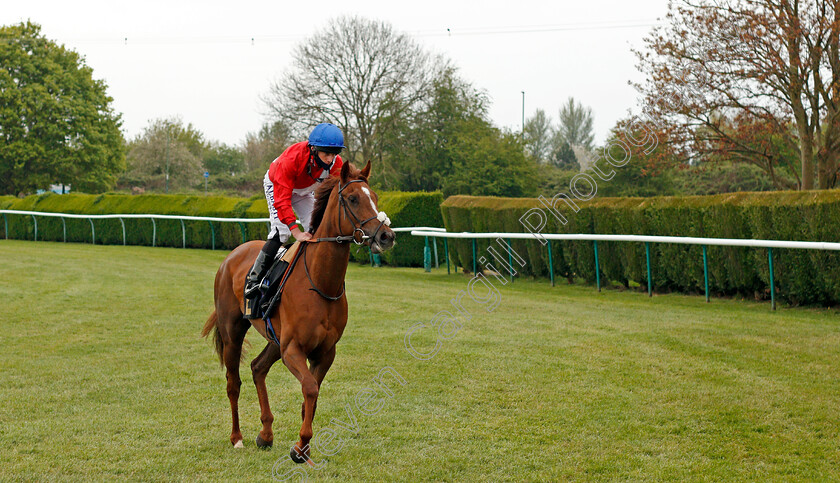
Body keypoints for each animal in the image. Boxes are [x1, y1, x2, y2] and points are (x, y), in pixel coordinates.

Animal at [203, 161, 398, 464]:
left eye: (374, 197)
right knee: (233, 383)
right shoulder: (293, 349)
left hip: (275, 339)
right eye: (353, 198)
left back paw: (266, 434)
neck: (320, 282)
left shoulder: (325, 352)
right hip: (233, 331)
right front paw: (301, 446)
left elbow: (312, 397)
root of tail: (231, 256)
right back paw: (237, 438)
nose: (386, 236)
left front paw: (302, 448)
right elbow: (309, 388)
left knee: (257, 368)